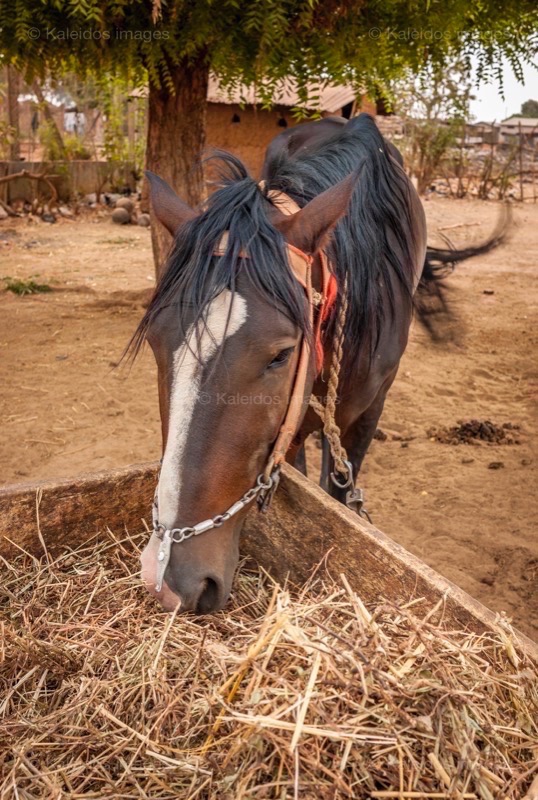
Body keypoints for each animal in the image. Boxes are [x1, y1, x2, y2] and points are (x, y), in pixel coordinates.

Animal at [129, 111, 486, 612]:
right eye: (157, 342)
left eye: (281, 354)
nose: (168, 579)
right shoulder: (290, 427)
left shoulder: (369, 409)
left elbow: (339, 494)